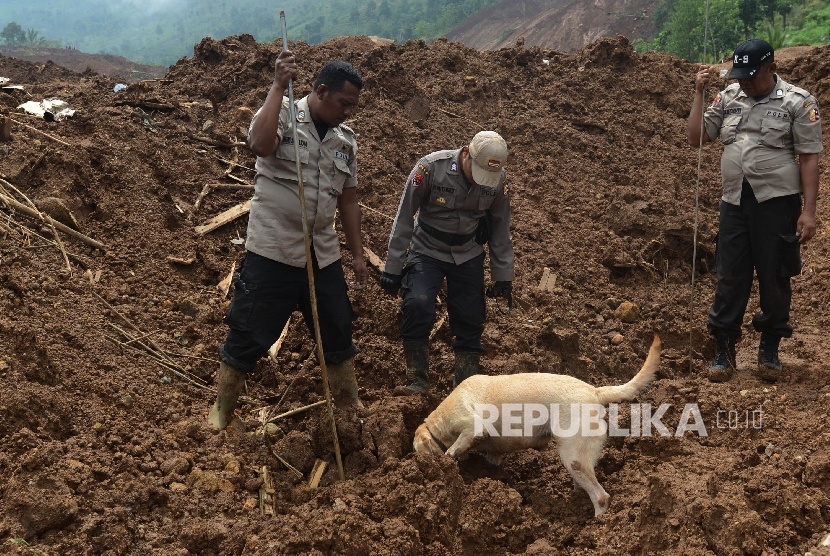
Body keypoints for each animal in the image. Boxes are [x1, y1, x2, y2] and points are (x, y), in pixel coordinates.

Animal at [416, 332, 664, 516]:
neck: (439, 419)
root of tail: (594, 391)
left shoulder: (472, 427)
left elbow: (453, 449)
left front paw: (448, 461)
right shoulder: (493, 451)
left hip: (573, 456)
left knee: (601, 497)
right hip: (580, 459)